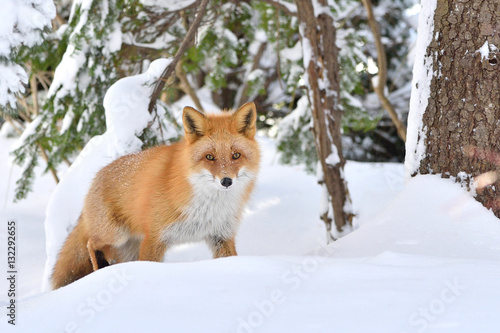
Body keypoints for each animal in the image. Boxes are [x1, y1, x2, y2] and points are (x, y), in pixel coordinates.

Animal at [51, 102, 262, 288]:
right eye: (209, 157)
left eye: (236, 155)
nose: (226, 181)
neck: (208, 205)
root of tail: (96, 177)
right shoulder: (154, 237)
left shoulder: (221, 236)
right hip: (115, 234)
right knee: (90, 243)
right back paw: (100, 268)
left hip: (128, 247)